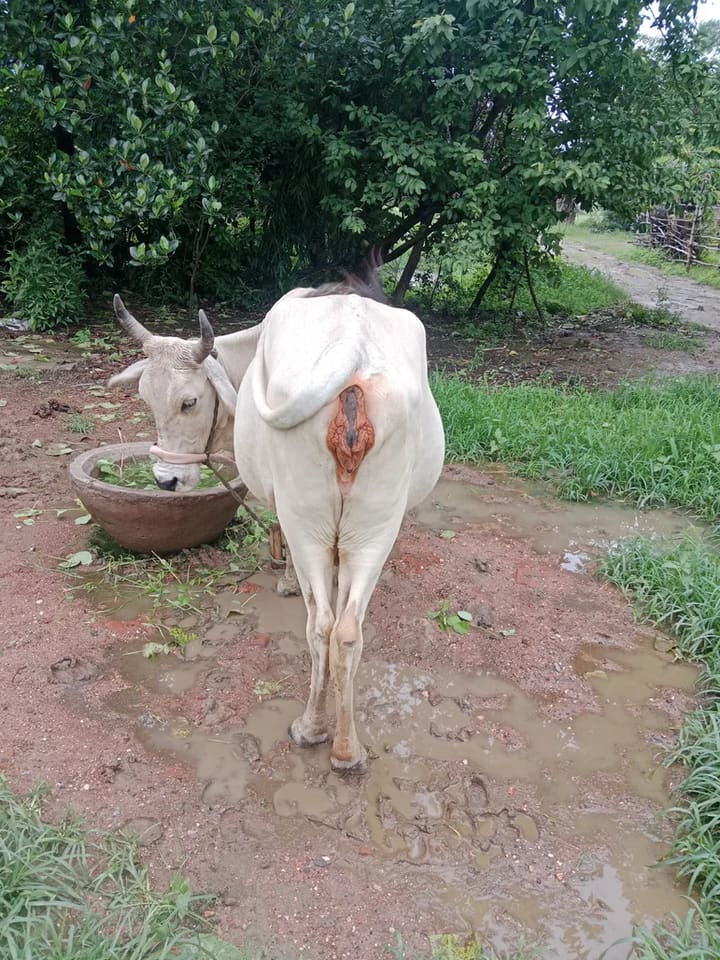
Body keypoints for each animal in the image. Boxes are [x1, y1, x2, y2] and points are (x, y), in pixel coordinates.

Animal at [110, 263, 445, 770]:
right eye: (146, 398)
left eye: (189, 401)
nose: (167, 481)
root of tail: (351, 351)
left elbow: (281, 539)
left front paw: (285, 580)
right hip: (376, 528)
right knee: (345, 631)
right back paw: (347, 749)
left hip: (310, 519)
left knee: (320, 626)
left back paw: (311, 728)